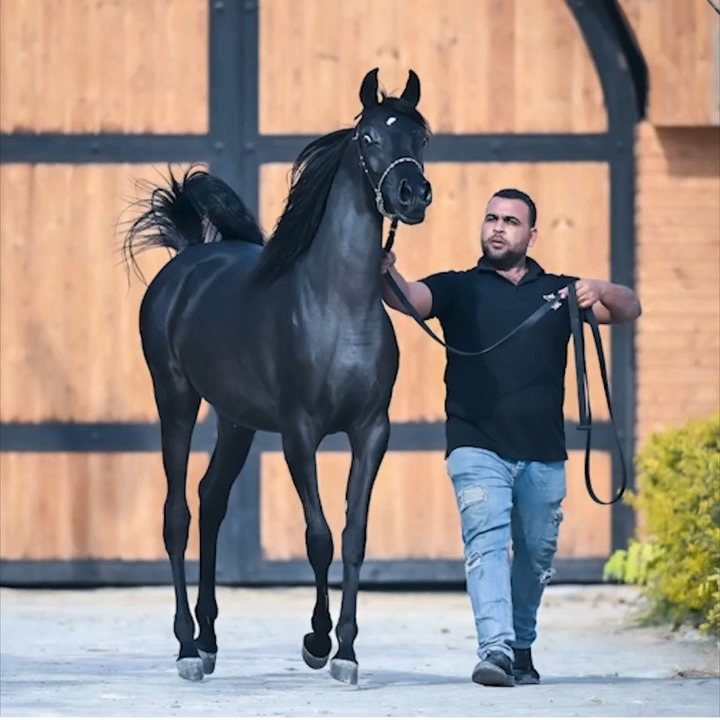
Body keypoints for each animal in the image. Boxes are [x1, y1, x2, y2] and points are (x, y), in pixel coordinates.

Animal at [123, 68, 432, 685]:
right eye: (368, 137)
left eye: (421, 138)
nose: (412, 196)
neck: (339, 306)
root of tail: (187, 262)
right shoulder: (299, 432)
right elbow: (318, 538)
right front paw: (316, 642)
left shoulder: (372, 431)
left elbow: (354, 536)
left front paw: (347, 651)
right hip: (176, 400)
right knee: (177, 515)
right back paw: (187, 649)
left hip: (236, 422)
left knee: (211, 500)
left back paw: (210, 640)